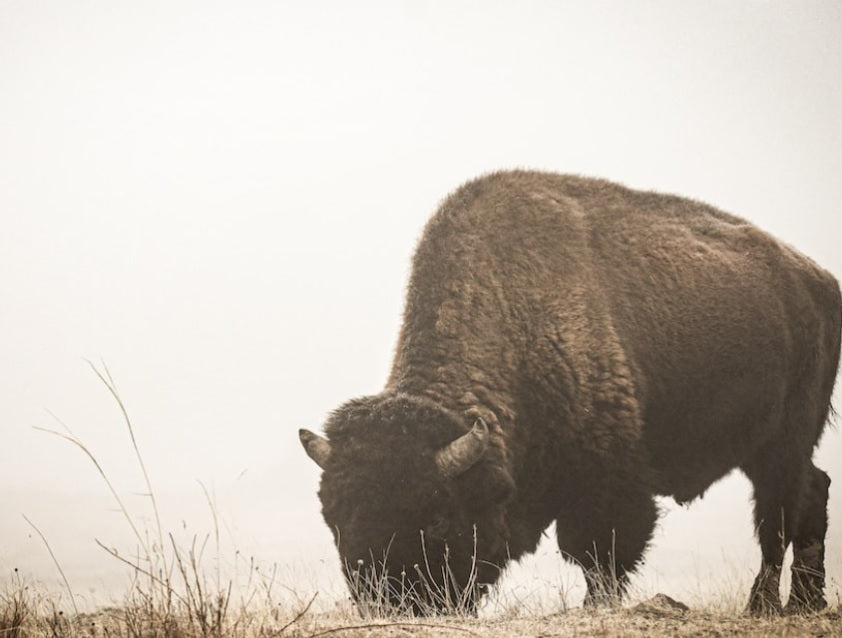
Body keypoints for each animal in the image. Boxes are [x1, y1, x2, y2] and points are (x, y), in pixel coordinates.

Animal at [298, 170, 836, 616]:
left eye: (437, 519)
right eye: (334, 519)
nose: (389, 603)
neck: (514, 314)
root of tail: (819, 280)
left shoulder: (608, 481)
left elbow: (599, 551)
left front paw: (597, 606)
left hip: (782, 444)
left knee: (777, 519)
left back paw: (763, 605)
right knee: (813, 491)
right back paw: (805, 603)